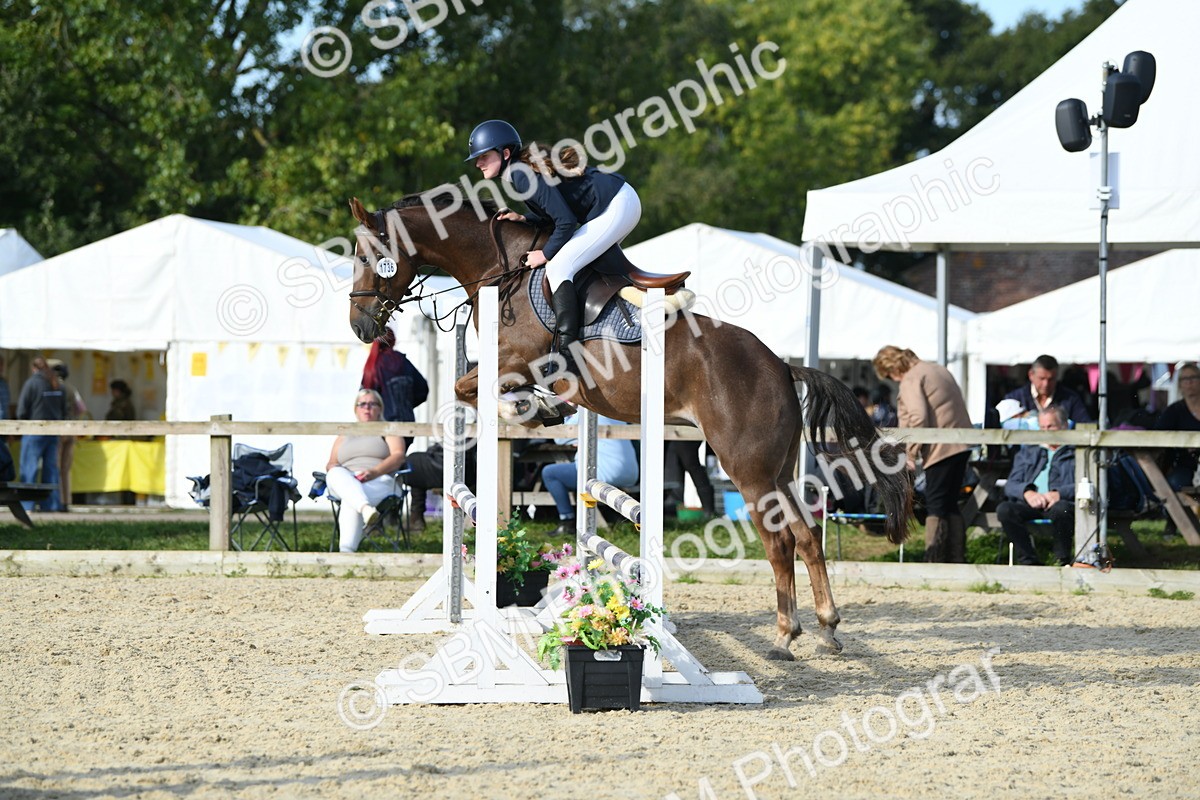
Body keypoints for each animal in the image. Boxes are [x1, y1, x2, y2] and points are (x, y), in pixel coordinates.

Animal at [346, 191, 911, 660]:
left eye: (365, 256)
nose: (361, 327)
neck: (501, 270)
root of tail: (780, 365)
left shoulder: (514, 363)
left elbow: (469, 390)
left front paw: (534, 409)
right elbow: (469, 390)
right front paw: (543, 409)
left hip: (747, 470)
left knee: (779, 543)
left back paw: (783, 636)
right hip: (778, 470)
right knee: (807, 535)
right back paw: (828, 628)